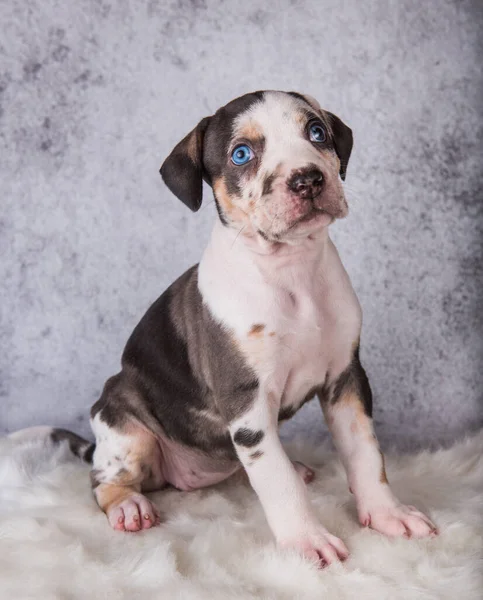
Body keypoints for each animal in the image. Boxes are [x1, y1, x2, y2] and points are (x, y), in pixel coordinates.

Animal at [36, 91, 434, 564]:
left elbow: (366, 454)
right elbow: (278, 483)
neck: (292, 270)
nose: (307, 179)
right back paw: (128, 505)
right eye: (241, 154)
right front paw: (306, 541)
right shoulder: (246, 403)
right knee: (104, 479)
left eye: (316, 132)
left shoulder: (347, 379)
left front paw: (389, 514)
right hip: (125, 426)